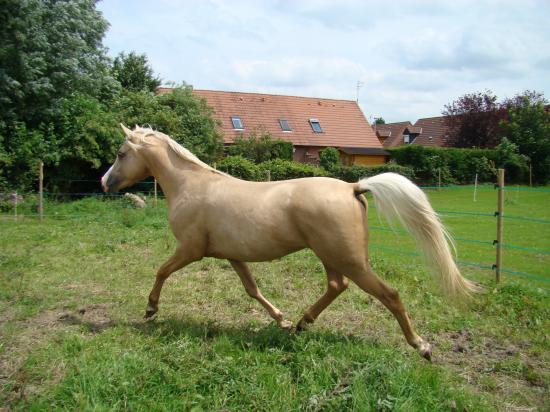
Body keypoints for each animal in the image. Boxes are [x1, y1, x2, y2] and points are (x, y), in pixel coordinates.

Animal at [101, 124, 477, 360]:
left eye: (121, 153)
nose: (105, 182)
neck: (191, 186)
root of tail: (353, 187)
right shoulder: (232, 255)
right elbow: (252, 289)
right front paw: (281, 320)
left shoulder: (190, 250)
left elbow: (161, 271)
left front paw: (151, 310)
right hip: (332, 256)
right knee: (336, 286)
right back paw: (301, 323)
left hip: (351, 260)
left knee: (390, 295)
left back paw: (421, 346)